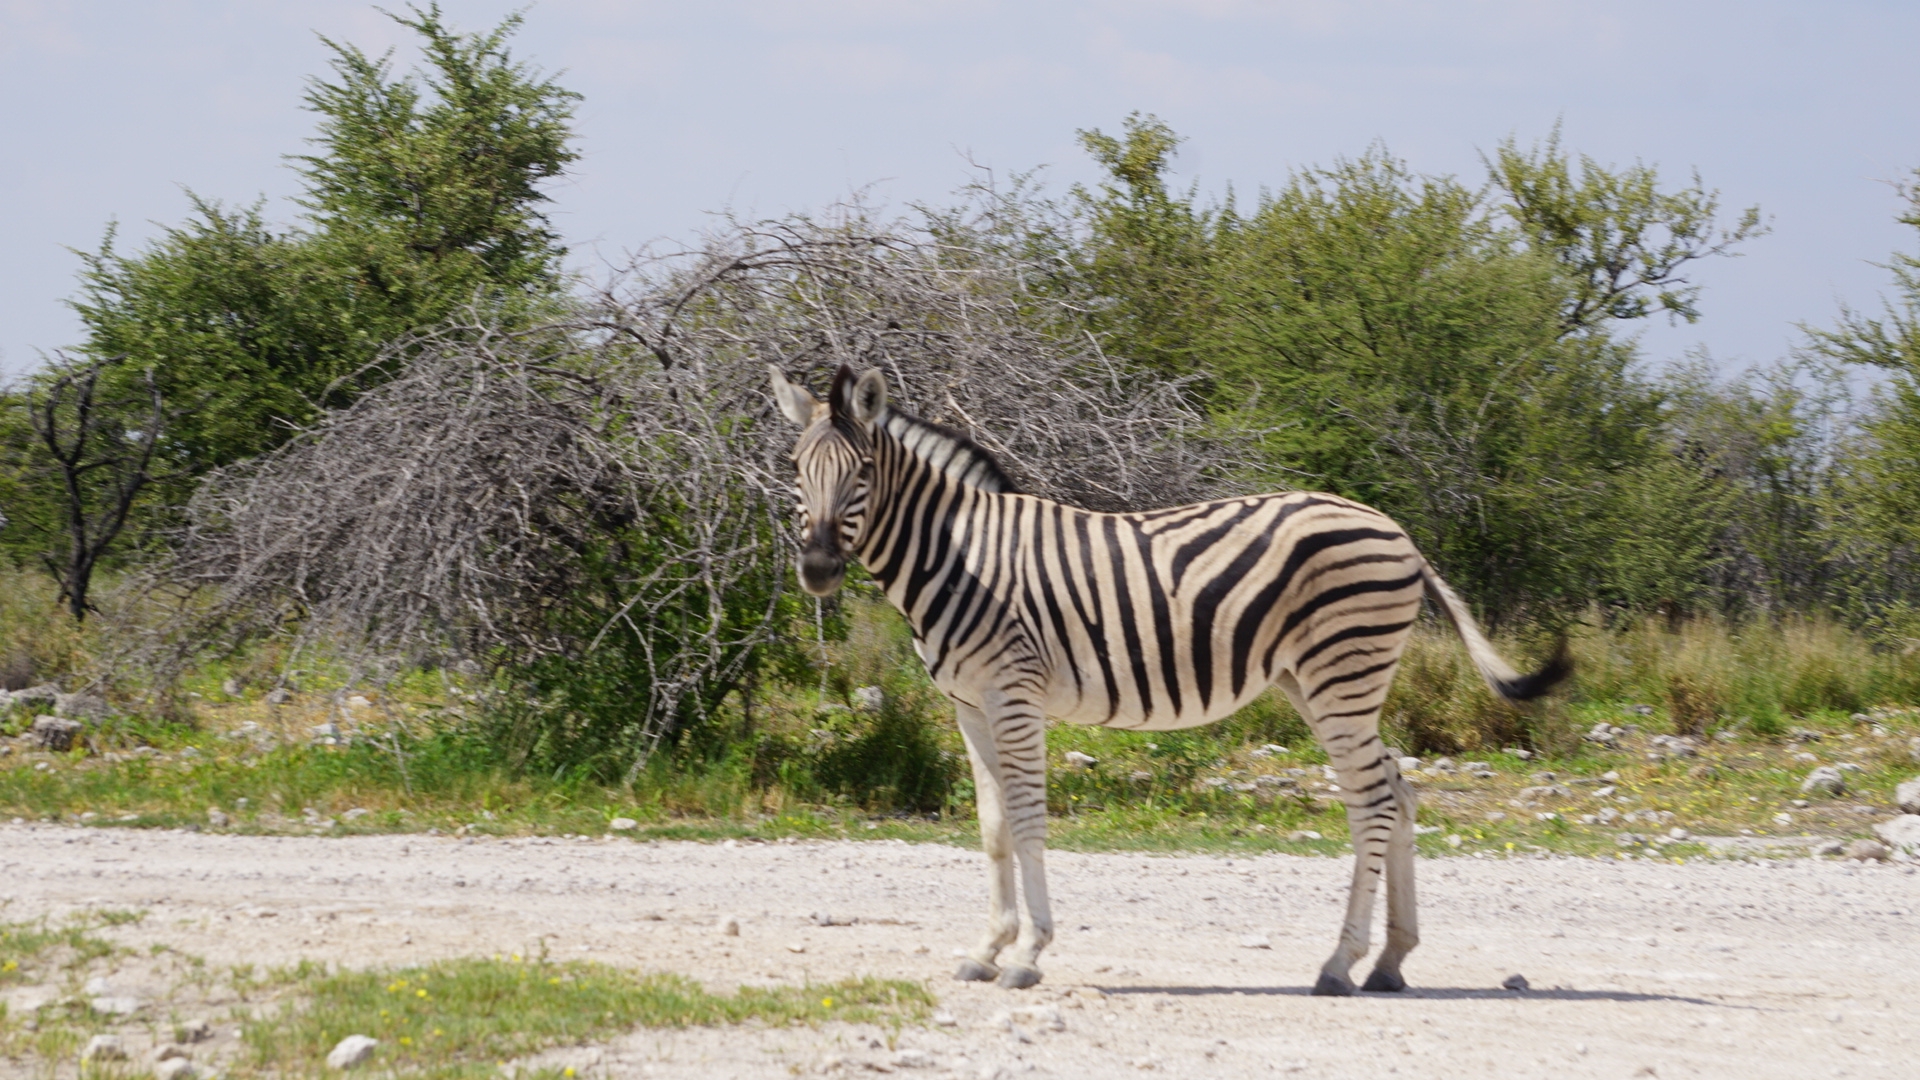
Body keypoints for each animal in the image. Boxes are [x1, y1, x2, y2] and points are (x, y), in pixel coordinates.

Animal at [764, 363, 1559, 991]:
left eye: (863, 475)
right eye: (798, 472)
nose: (818, 571)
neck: (958, 556)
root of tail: (1399, 532)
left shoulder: (1015, 696)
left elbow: (1027, 820)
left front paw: (1028, 955)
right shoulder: (969, 705)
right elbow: (992, 828)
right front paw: (986, 950)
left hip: (1341, 673)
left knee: (1372, 801)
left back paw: (1340, 965)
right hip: (1316, 682)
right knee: (1398, 787)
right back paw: (1390, 961)